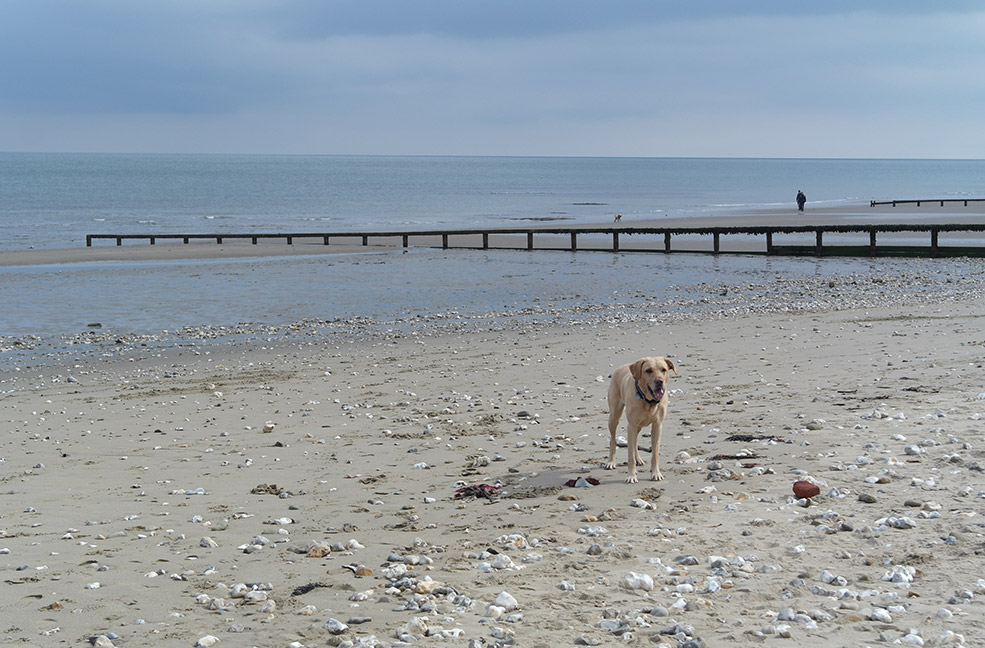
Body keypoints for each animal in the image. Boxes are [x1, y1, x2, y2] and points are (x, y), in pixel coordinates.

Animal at [608, 356, 676, 484]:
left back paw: (638, 459)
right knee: (613, 440)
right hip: (614, 416)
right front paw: (631, 475)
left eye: (663, 370)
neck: (649, 401)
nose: (659, 381)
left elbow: (655, 453)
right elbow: (630, 454)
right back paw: (611, 462)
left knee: (635, 442)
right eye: (648, 370)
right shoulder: (631, 425)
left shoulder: (657, 425)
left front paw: (656, 473)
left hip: (638, 425)